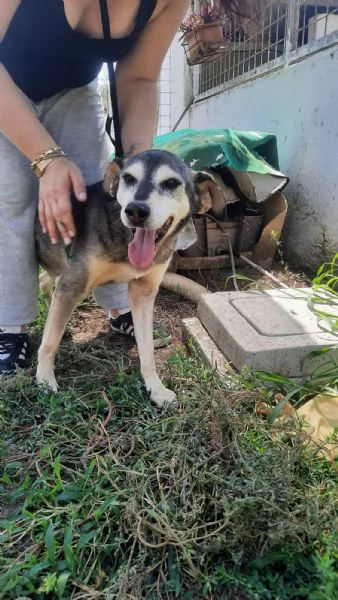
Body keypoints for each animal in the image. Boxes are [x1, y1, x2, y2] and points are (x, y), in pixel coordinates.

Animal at [35, 149, 224, 408]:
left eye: (171, 183)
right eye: (128, 178)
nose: (135, 211)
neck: (123, 235)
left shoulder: (143, 292)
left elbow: (147, 349)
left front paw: (156, 388)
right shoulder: (72, 284)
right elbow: (49, 342)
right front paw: (44, 380)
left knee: (45, 281)